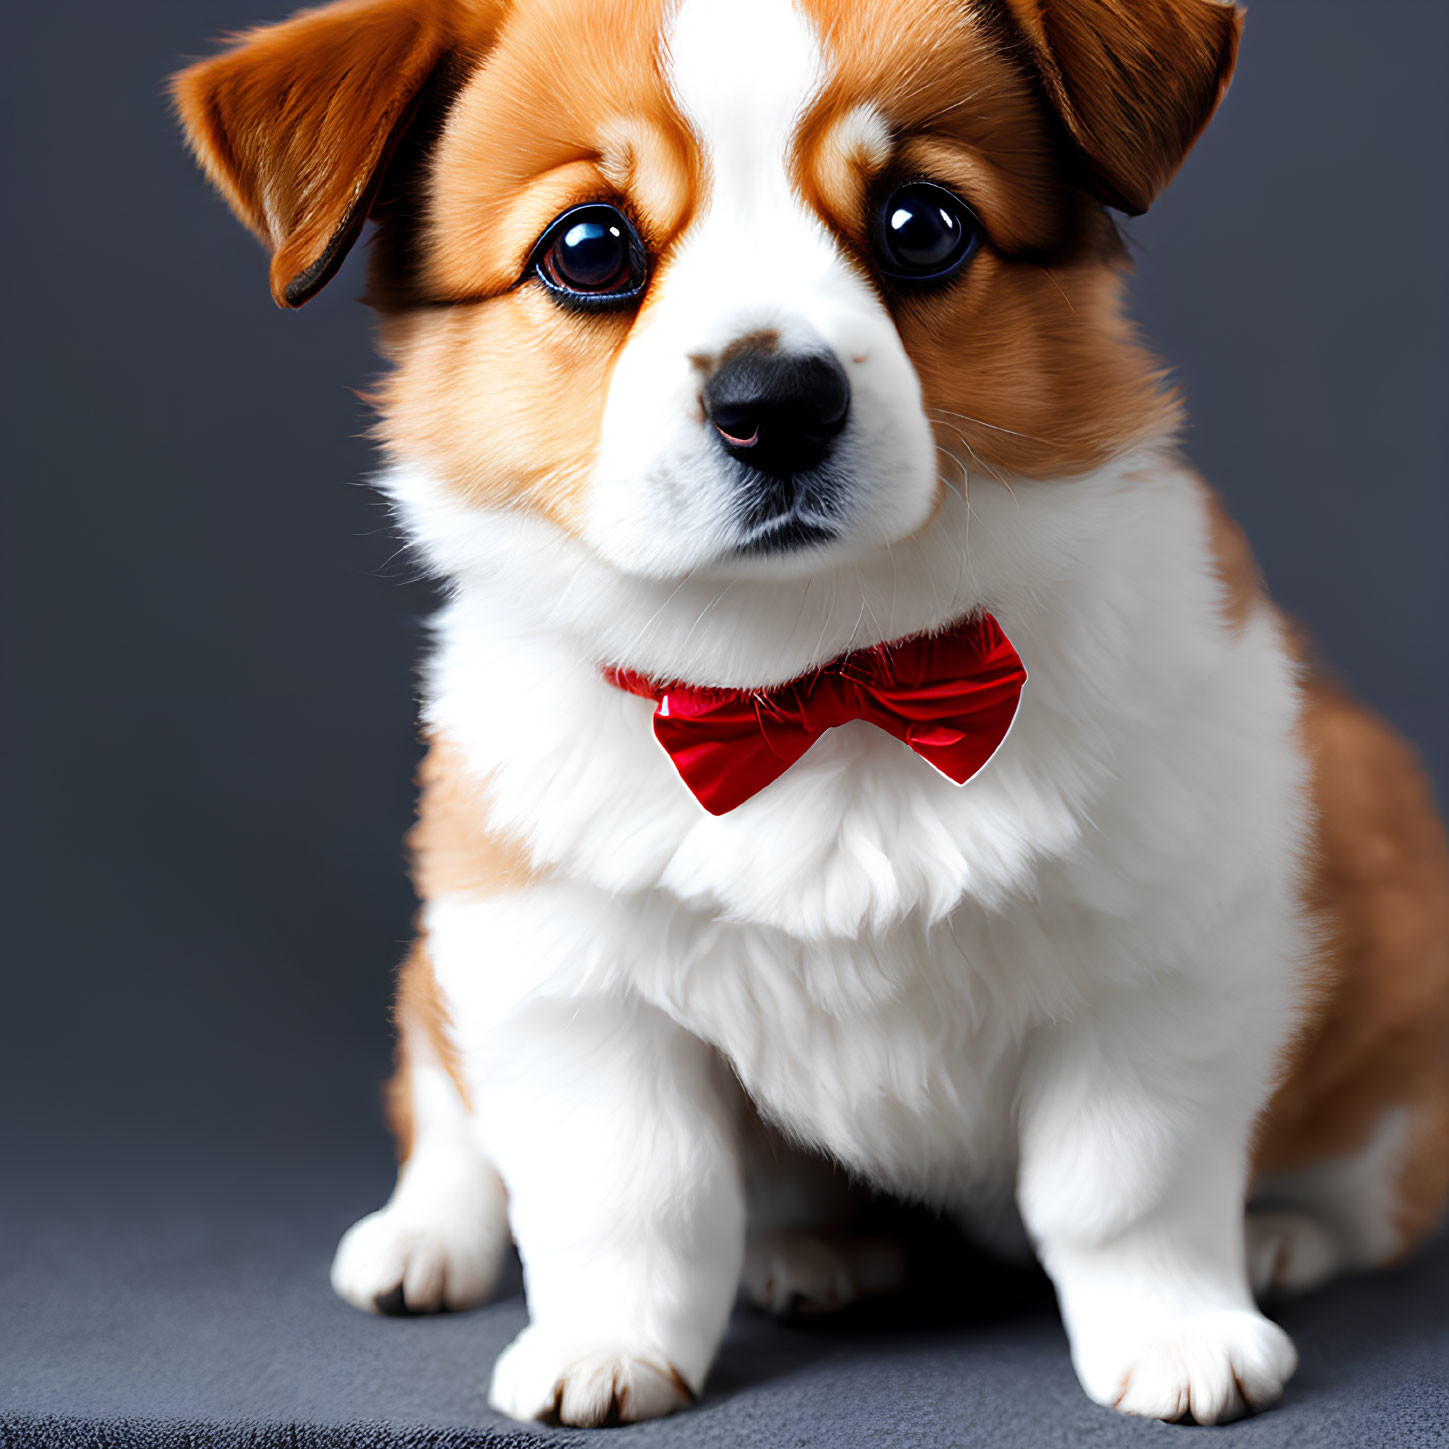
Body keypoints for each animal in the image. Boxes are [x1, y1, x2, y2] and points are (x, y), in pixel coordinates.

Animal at [175, 0, 1449, 1425]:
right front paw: (606, 1346)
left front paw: (1176, 1331)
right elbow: (628, 1191)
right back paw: (440, 1241)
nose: (773, 406)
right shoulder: (554, 969)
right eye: (589, 248)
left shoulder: (1160, 964)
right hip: (444, 965)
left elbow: (1124, 1185)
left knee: (1363, 1192)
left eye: (921, 225)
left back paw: (1272, 1237)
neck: (813, 683)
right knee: (445, 1104)